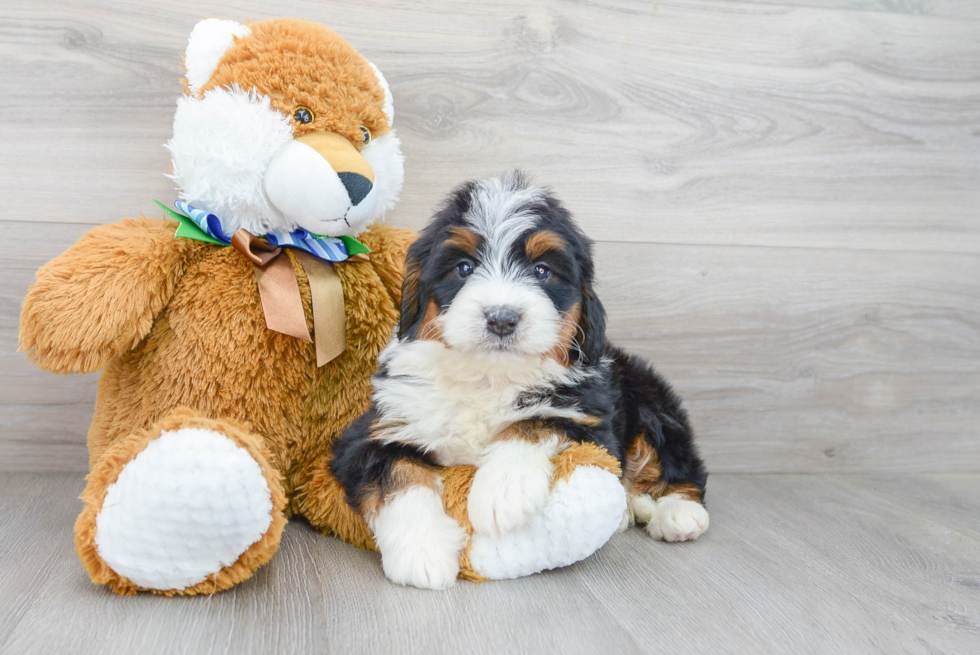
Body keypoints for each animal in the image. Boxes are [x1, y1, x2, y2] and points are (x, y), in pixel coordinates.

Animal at [334, 173, 708, 588]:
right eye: (464, 267)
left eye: (542, 271)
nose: (502, 318)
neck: (488, 376)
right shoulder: (373, 432)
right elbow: (398, 473)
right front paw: (423, 552)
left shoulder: (589, 418)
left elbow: (535, 421)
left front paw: (502, 492)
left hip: (649, 402)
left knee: (678, 463)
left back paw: (677, 513)